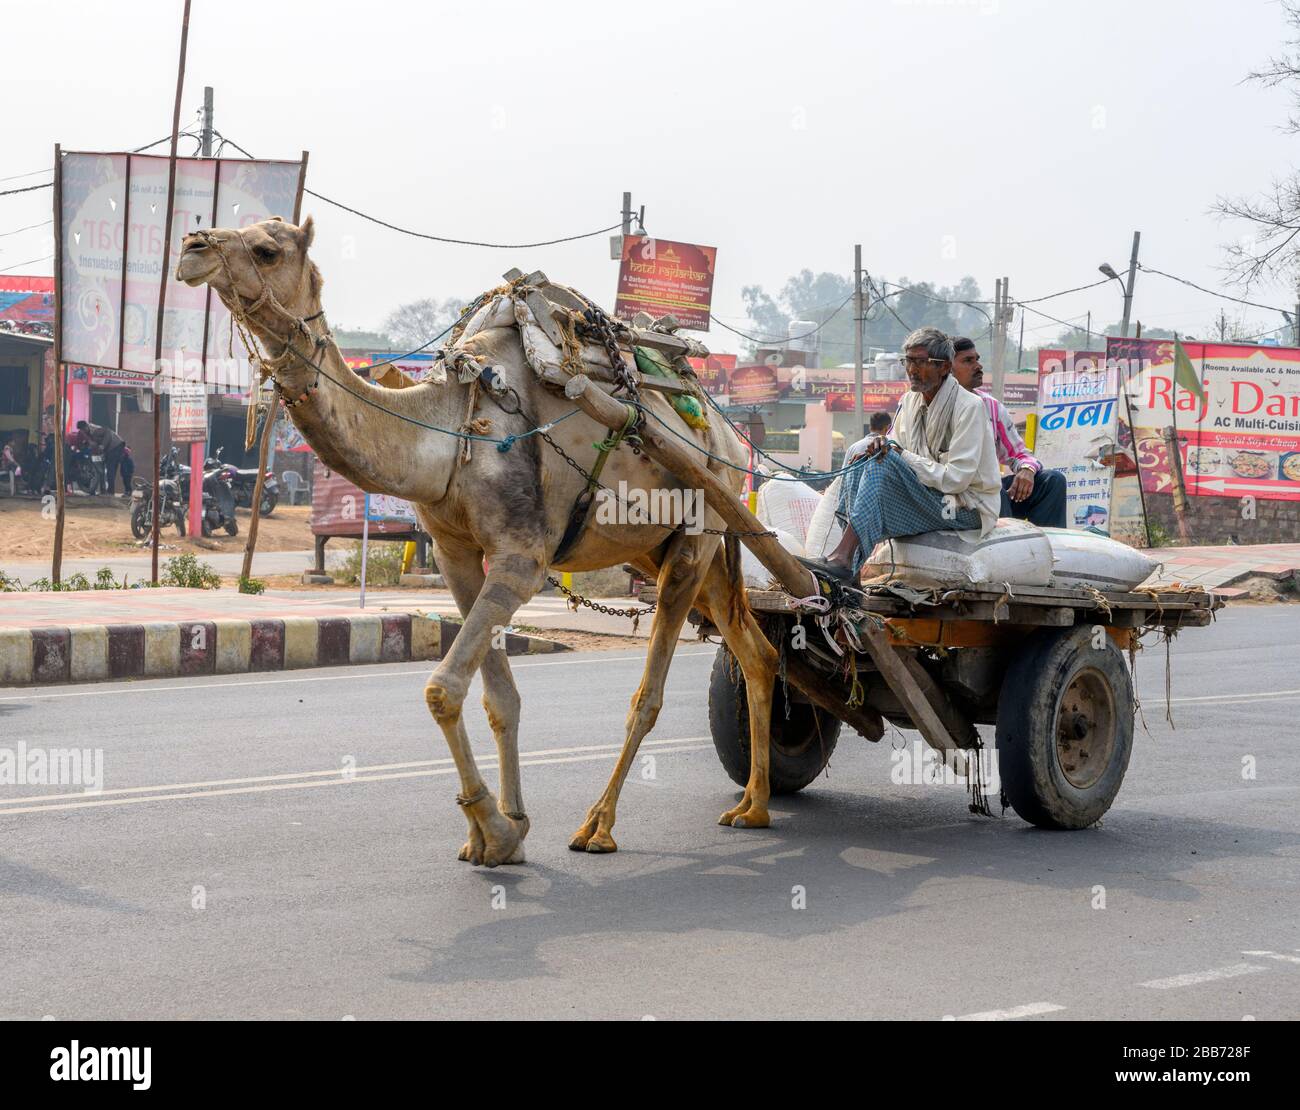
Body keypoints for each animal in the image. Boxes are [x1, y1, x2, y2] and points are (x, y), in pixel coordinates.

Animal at [176, 216, 782, 866]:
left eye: (268, 248)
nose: (191, 248)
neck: (451, 429)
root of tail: (728, 436)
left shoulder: (521, 557)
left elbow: (443, 688)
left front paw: (492, 825)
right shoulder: (455, 552)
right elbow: (499, 698)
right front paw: (505, 829)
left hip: (699, 530)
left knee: (649, 694)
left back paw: (599, 825)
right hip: (663, 545)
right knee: (758, 651)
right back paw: (754, 807)